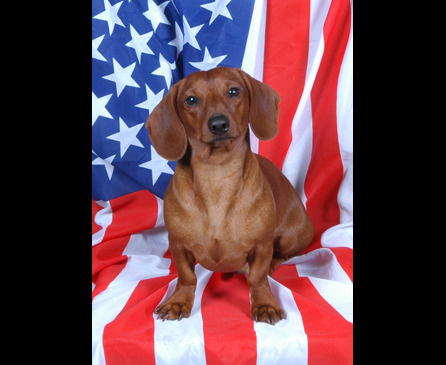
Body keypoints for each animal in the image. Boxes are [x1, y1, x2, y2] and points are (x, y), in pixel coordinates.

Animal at [146, 67, 314, 322]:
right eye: (191, 100)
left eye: (234, 91)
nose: (218, 124)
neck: (217, 175)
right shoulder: (177, 244)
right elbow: (187, 276)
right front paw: (178, 301)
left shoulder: (262, 245)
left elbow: (257, 277)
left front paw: (264, 304)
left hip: (291, 237)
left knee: (281, 255)